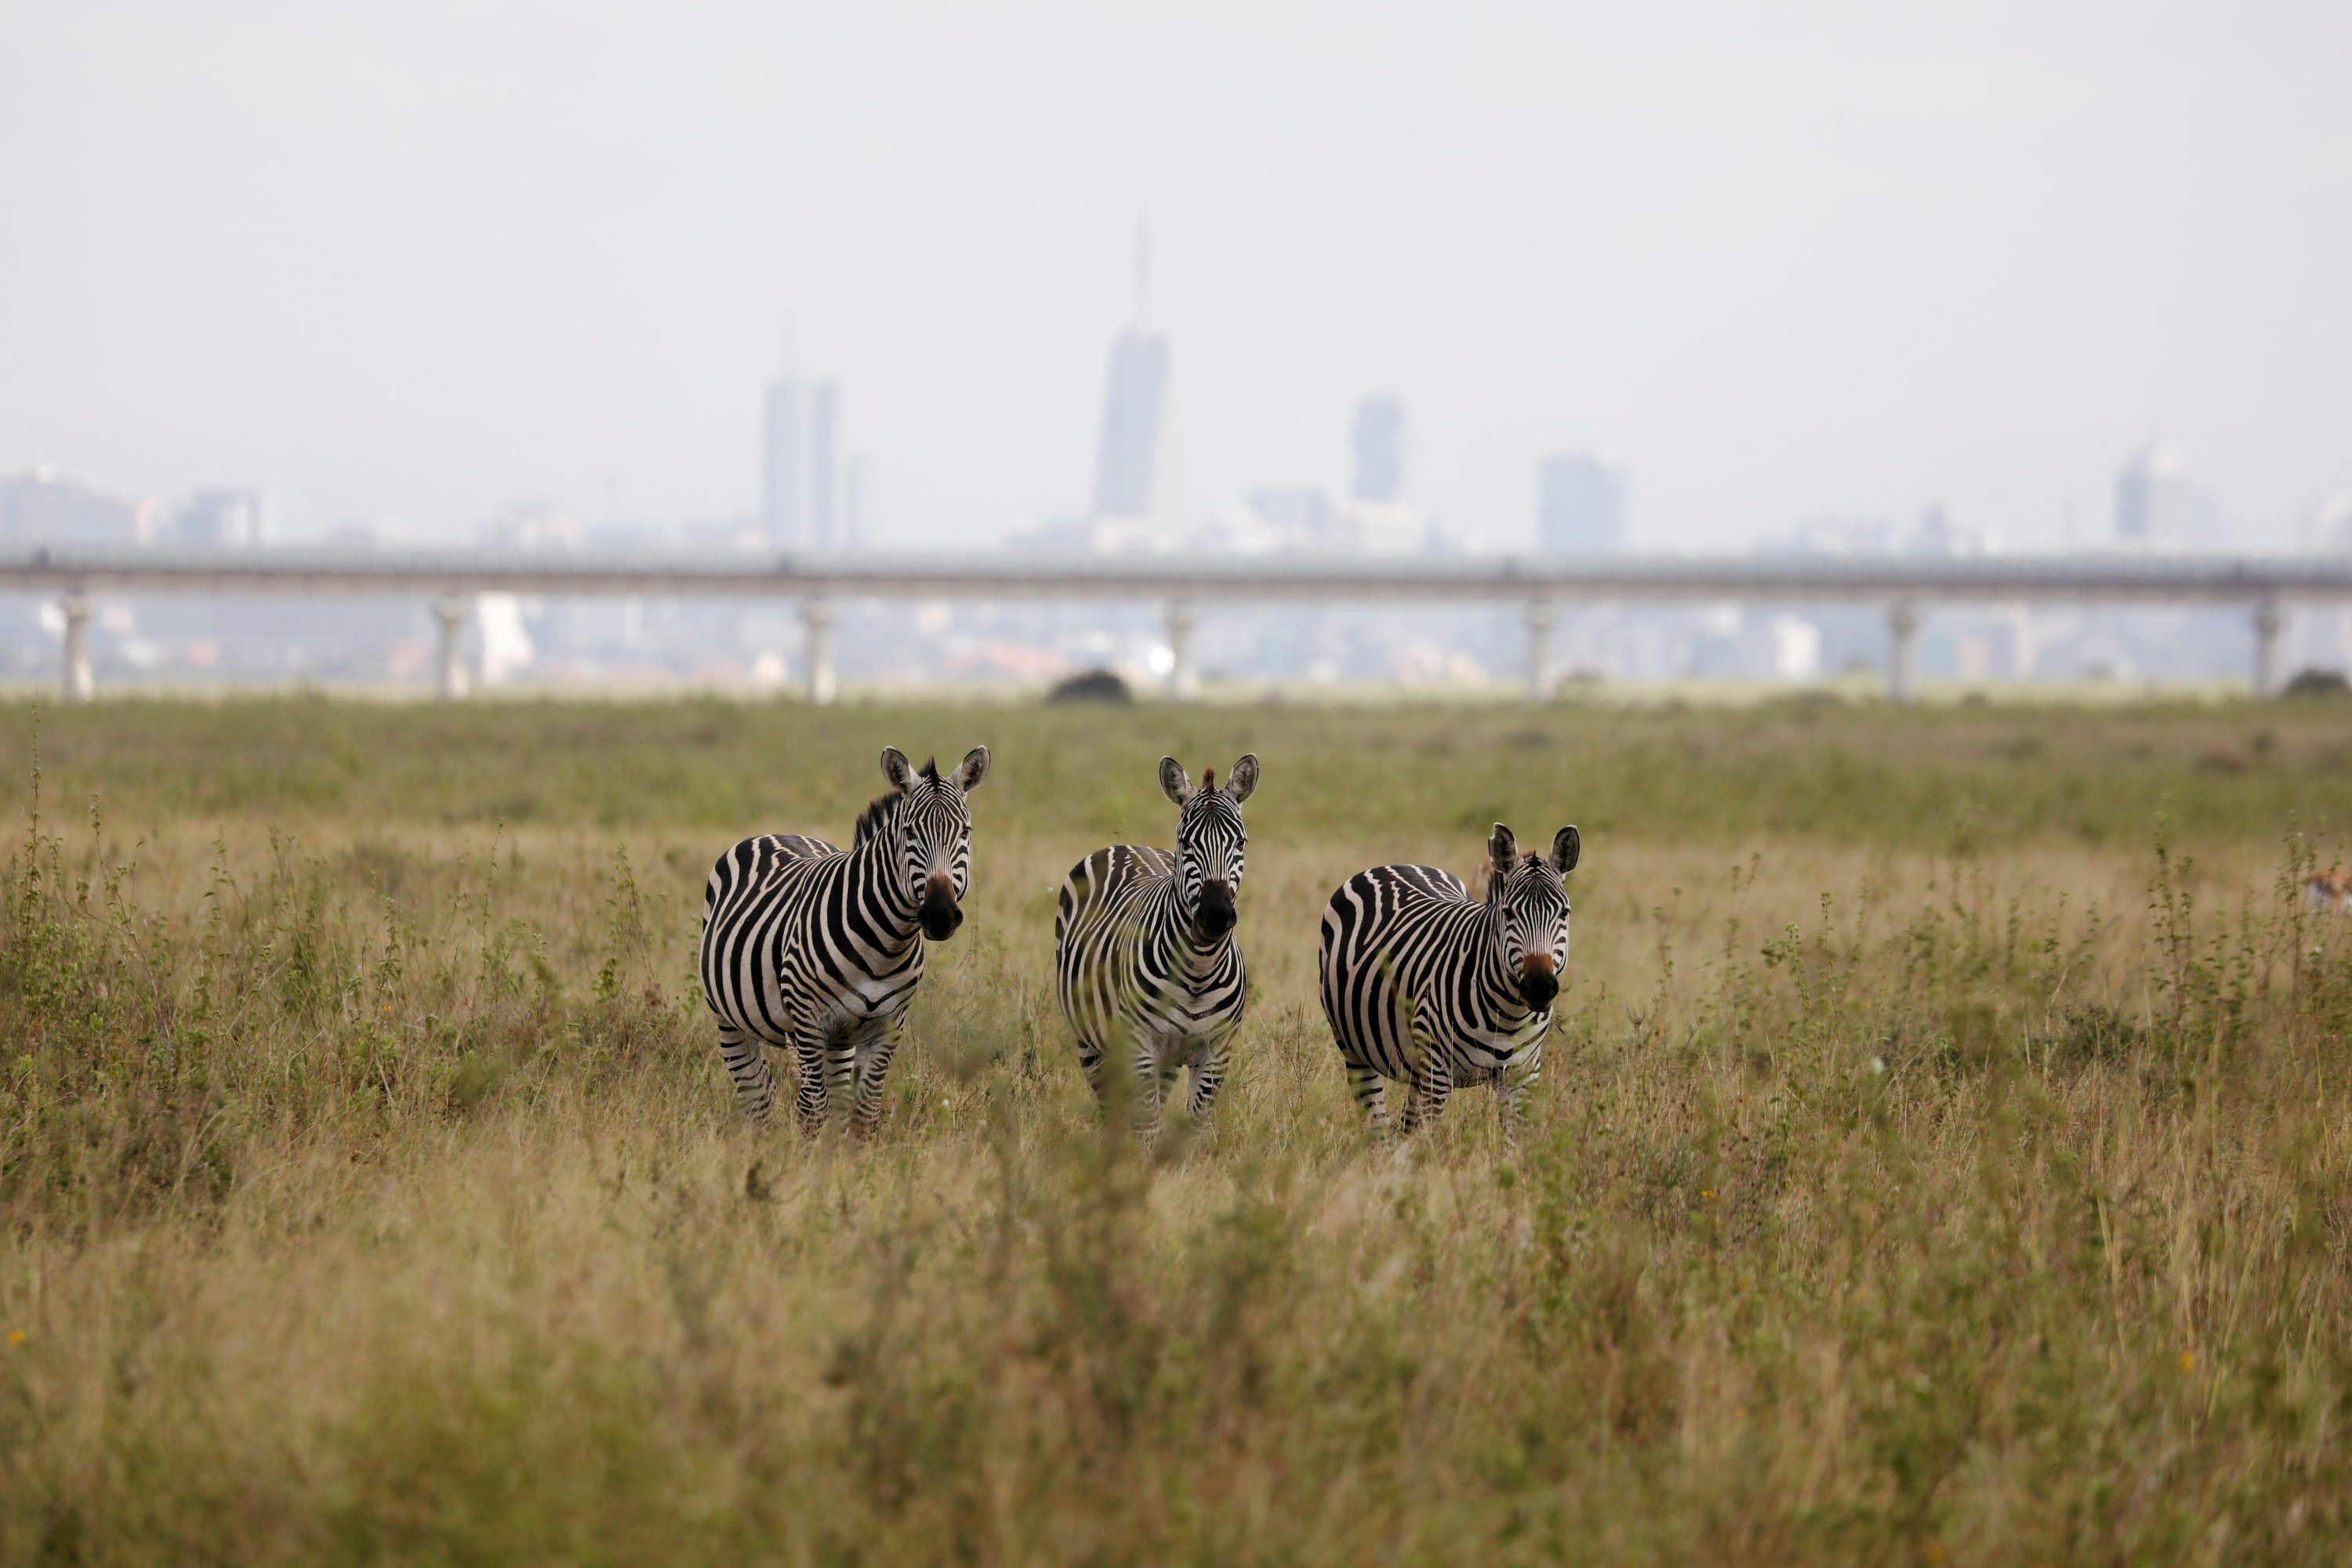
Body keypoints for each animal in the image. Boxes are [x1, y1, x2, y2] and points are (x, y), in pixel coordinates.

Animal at [696, 752, 993, 1142]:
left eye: (965, 832)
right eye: (909, 832)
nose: (940, 914)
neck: (885, 948)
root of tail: (773, 834)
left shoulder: (886, 1024)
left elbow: (864, 1111)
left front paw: (852, 1159)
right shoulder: (808, 1020)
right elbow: (813, 1110)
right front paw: (808, 1160)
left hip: (840, 1038)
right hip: (729, 1018)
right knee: (756, 1093)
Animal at [1058, 752, 1261, 1133]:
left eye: (1240, 843)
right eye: (1186, 843)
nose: (1215, 915)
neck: (1199, 970)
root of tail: (1125, 845)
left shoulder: (1215, 1053)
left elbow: (1194, 1129)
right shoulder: (1142, 1048)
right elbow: (1148, 1126)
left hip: (1165, 1062)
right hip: (1090, 1042)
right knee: (1111, 1107)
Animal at [1327, 822, 1581, 1142]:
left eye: (1564, 913)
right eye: (1508, 913)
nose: (1539, 987)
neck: (1509, 1014)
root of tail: (1394, 865)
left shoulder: (1523, 1074)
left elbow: (1513, 1145)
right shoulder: (1437, 1073)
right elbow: (1429, 1144)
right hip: (1356, 1050)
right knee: (1379, 1126)